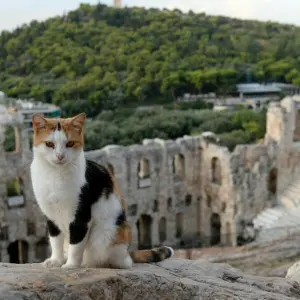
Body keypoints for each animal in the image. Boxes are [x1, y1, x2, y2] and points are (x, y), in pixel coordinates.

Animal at [30, 113, 173, 270]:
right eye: (50, 144)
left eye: (70, 143)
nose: (60, 156)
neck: (55, 175)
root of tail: (127, 252)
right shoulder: (50, 215)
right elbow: (55, 241)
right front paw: (56, 260)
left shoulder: (81, 216)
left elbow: (76, 244)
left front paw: (71, 265)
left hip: (105, 235)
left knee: (117, 261)